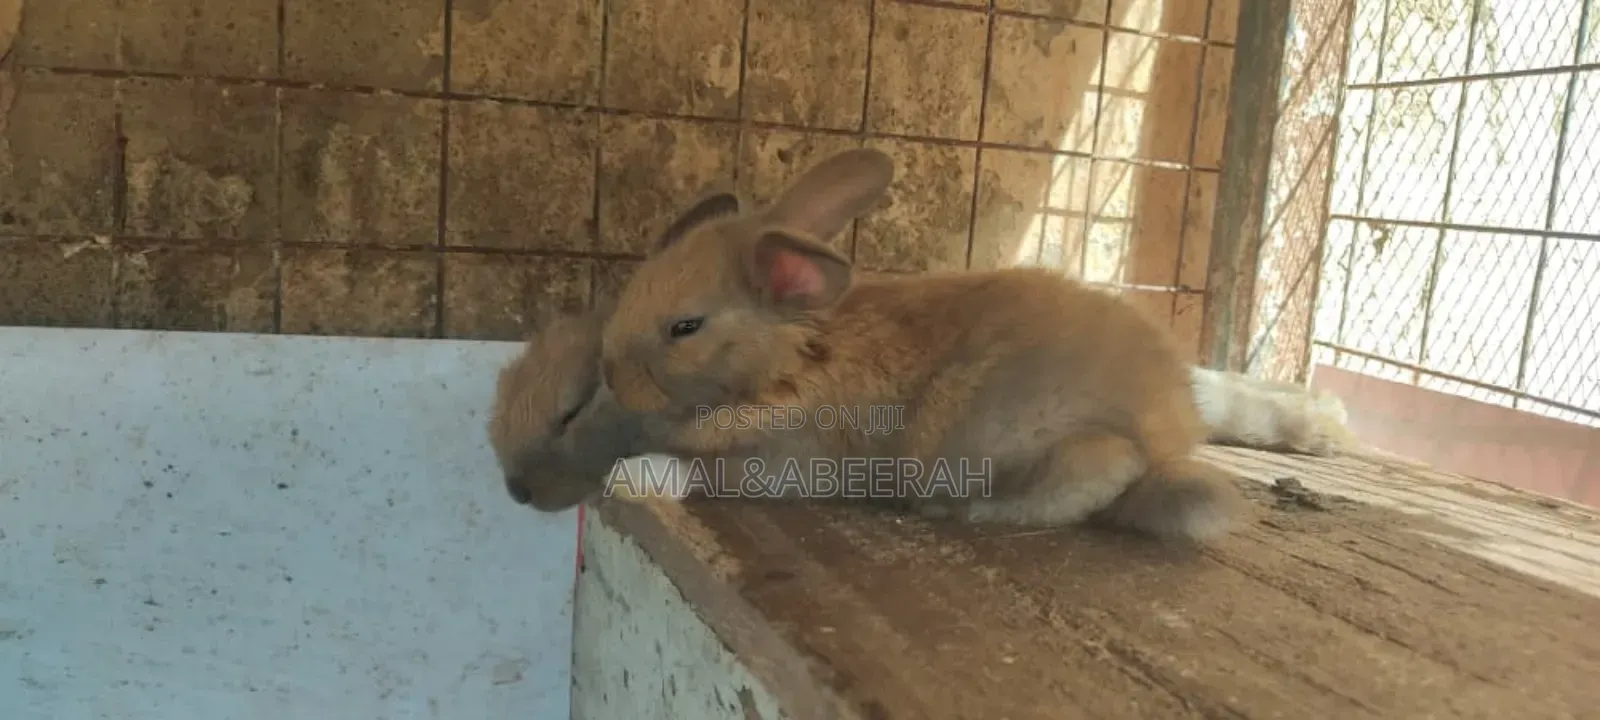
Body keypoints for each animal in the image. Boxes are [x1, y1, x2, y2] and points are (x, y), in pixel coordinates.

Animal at [578, 147, 1253, 543]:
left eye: (685, 328)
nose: (608, 373)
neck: (790, 360)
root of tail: (1170, 430)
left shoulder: (792, 459)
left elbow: (708, 472)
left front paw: (635, 472)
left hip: (1018, 441)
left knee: (1105, 473)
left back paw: (959, 512)